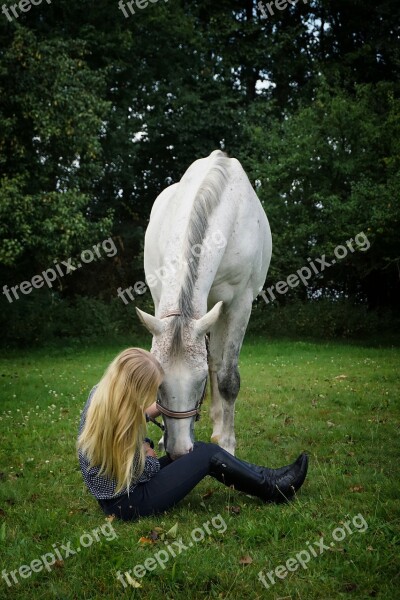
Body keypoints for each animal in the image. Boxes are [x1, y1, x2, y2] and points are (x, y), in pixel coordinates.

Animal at [136, 150, 270, 460]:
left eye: (199, 384)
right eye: (158, 385)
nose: (179, 450)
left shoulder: (240, 304)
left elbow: (227, 378)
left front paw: (227, 444)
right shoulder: (160, 298)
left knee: (217, 363)